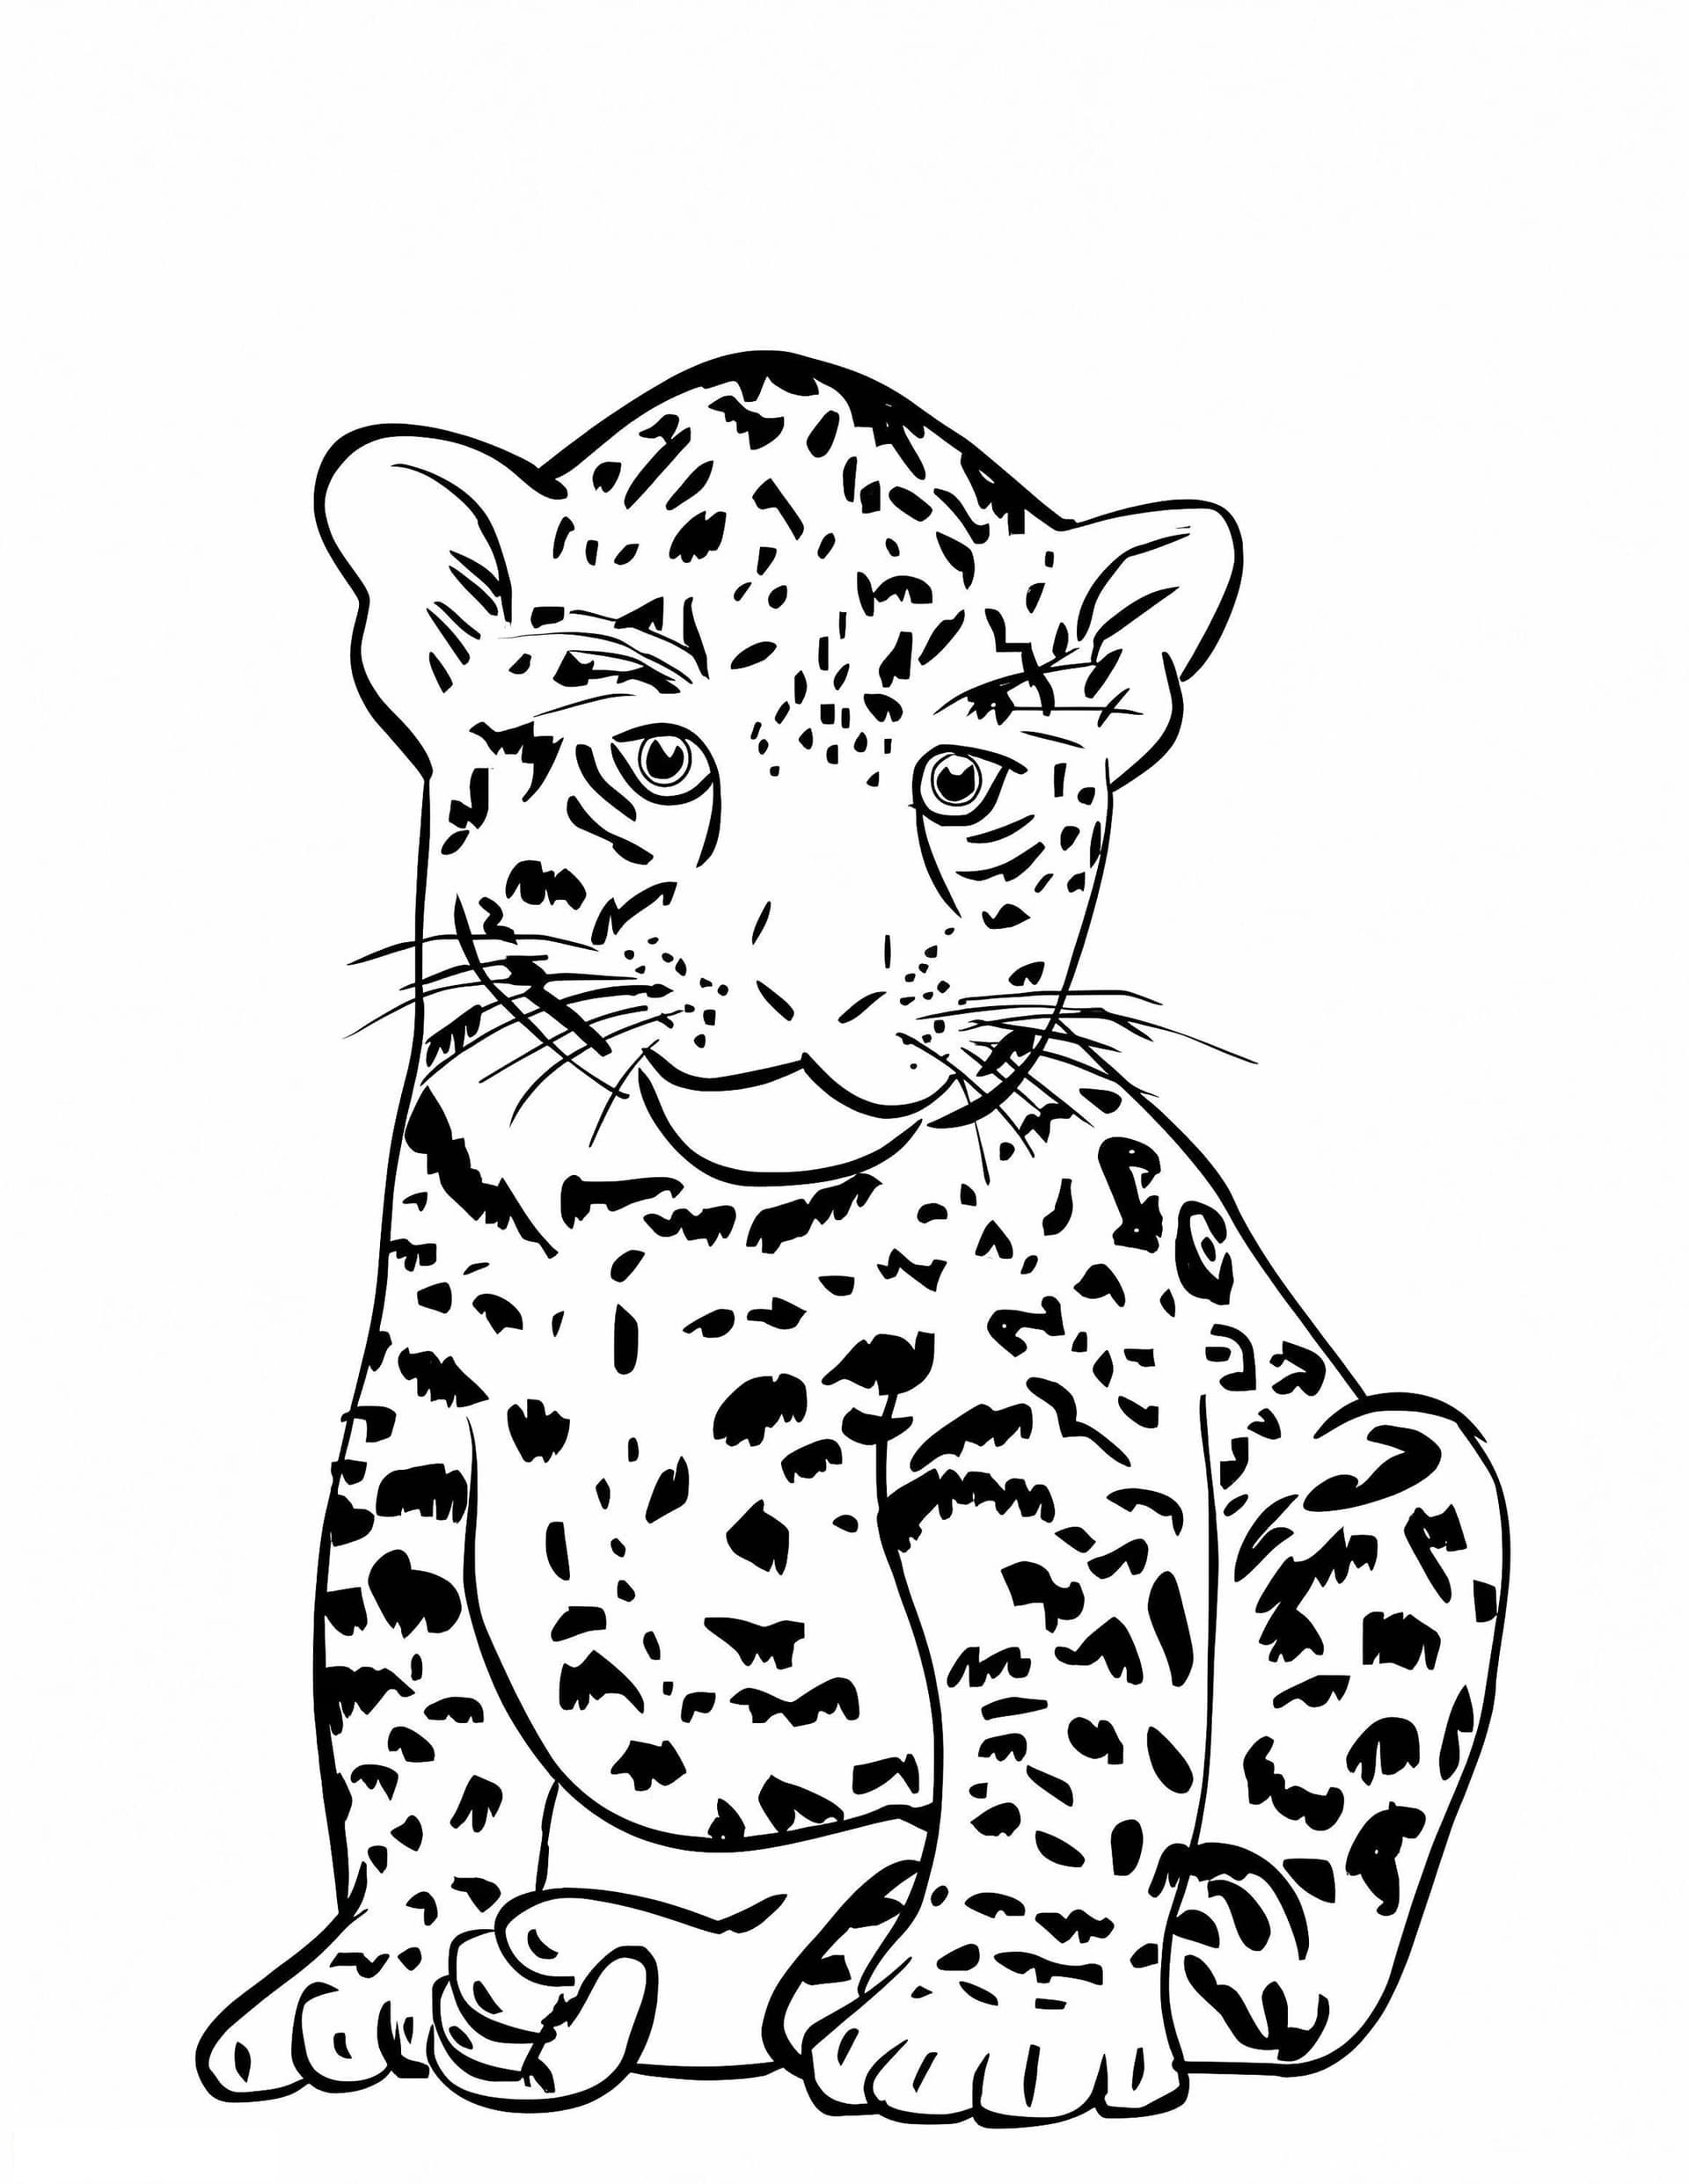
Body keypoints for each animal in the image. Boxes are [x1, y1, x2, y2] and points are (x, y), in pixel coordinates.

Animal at [197, 351, 1507, 2125]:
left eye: (961, 784)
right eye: (661, 762)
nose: (821, 977)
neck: (665, 1225)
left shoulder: (1043, 1429)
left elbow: (1072, 1721)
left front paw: (996, 2009)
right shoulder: (416, 1427)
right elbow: (411, 1710)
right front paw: (384, 1964)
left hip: (1400, 1472)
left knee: (1279, 1935)